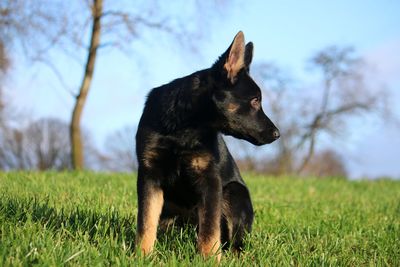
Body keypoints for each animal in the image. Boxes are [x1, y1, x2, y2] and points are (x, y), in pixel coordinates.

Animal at [136, 31, 280, 262]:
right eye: (255, 100)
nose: (277, 134)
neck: (183, 127)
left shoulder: (210, 181)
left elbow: (210, 230)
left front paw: (209, 259)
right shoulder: (149, 175)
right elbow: (146, 222)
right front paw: (142, 255)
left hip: (234, 192)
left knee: (234, 241)